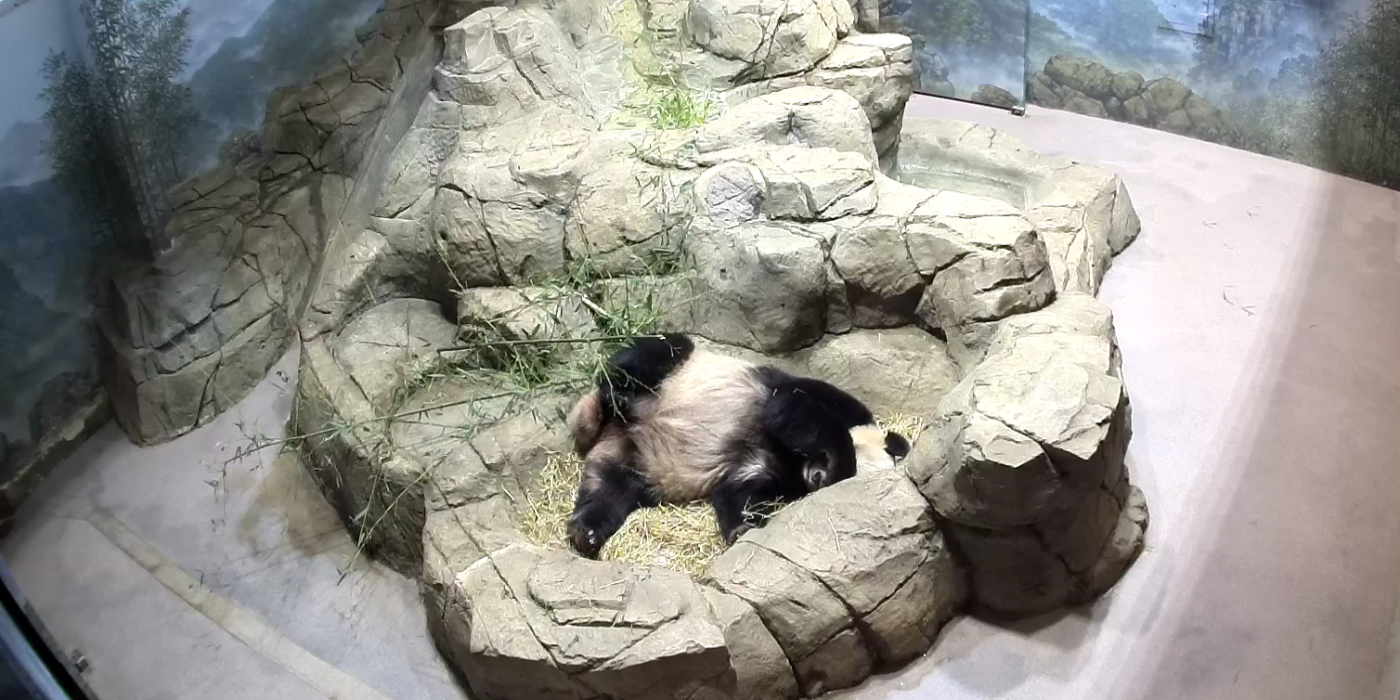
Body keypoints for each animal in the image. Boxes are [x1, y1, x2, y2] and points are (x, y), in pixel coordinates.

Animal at [562, 333, 912, 557]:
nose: (817, 478)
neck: (794, 460)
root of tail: (610, 426)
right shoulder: (824, 401)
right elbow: (792, 406)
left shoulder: (770, 470)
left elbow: (739, 490)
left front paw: (742, 528)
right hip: (671, 372)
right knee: (658, 352)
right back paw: (616, 393)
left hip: (631, 458)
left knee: (609, 488)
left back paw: (586, 532)